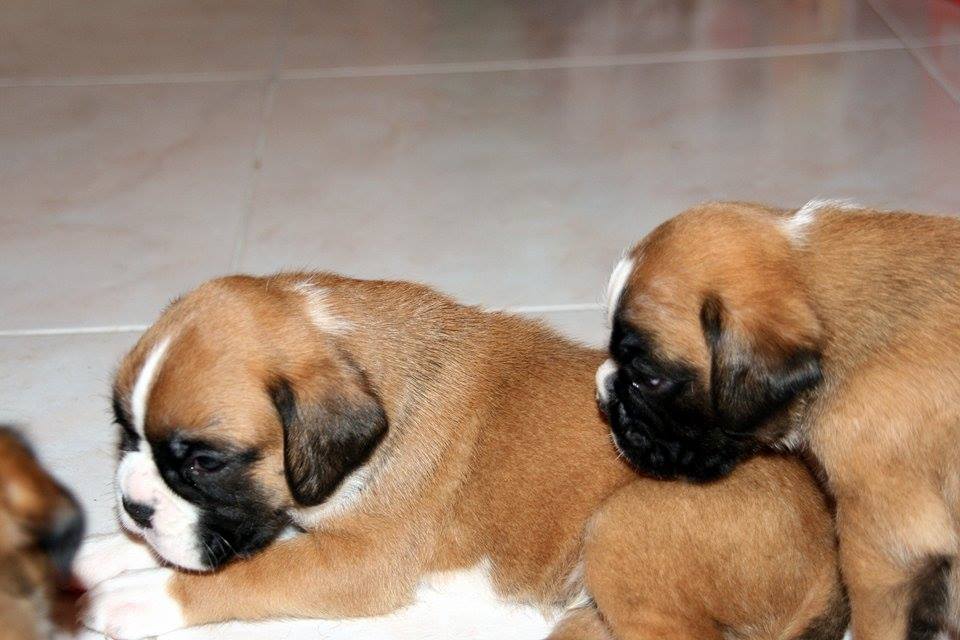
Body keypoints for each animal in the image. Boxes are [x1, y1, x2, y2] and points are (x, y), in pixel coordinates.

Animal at [77, 273, 846, 639]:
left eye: (203, 464)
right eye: (124, 431)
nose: (133, 504)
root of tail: (827, 550)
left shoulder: (358, 564)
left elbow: (247, 573)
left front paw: (140, 595)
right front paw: (101, 552)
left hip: (627, 523)